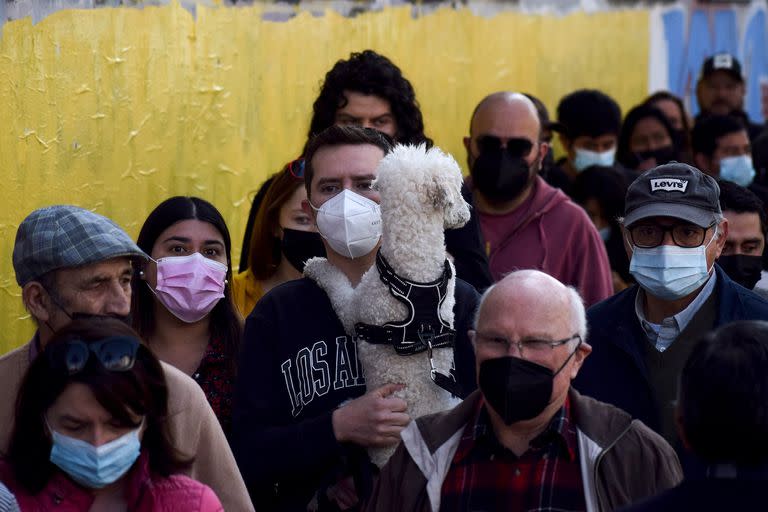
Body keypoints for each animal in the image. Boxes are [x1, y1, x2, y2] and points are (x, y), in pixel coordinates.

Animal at [304, 144, 472, 468]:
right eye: (458, 189)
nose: (467, 213)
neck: (414, 265)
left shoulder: (355, 308)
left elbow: (336, 282)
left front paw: (316, 265)